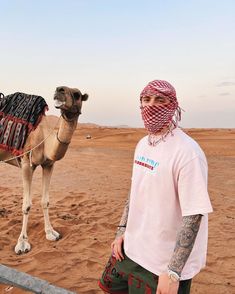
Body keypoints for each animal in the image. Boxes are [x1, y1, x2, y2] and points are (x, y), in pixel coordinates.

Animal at [0, 86, 88, 254]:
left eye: (77, 95)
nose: (59, 89)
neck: (44, 136)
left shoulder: (48, 164)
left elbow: (45, 201)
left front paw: (50, 232)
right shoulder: (26, 163)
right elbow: (27, 205)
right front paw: (22, 243)